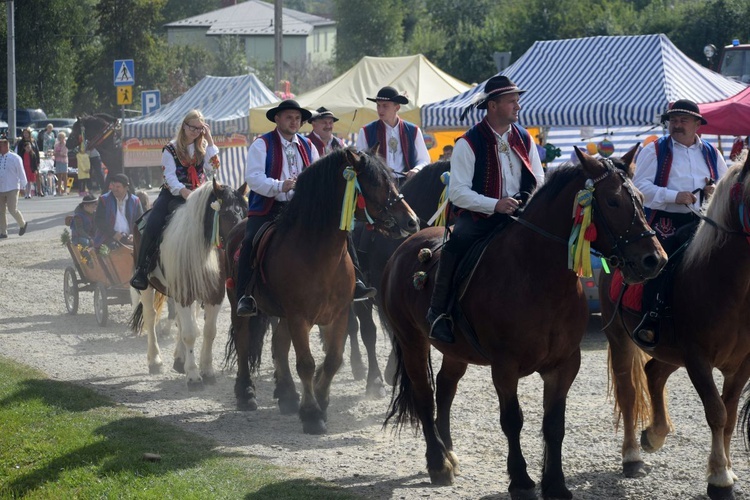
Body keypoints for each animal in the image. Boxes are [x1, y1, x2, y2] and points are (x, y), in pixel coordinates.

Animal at [129, 180, 247, 390]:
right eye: (225, 214)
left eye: (244, 212)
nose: (239, 243)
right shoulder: (184, 294)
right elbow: (190, 333)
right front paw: (193, 376)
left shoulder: (214, 295)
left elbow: (208, 331)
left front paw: (206, 370)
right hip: (148, 287)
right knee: (151, 317)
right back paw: (155, 360)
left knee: (180, 320)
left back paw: (179, 359)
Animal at [226, 147, 420, 434]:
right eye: (375, 183)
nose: (411, 221)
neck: (316, 253)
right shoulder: (299, 317)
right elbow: (306, 363)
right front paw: (312, 414)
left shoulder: (337, 314)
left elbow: (333, 360)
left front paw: (320, 397)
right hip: (240, 306)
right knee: (243, 341)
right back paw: (246, 393)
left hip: (283, 315)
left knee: (279, 345)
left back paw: (287, 395)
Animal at [384, 146, 668, 498]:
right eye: (613, 201)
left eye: (641, 199)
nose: (655, 260)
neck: (536, 277)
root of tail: (403, 250)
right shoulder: (505, 367)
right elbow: (512, 420)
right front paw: (520, 480)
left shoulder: (564, 365)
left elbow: (554, 424)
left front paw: (555, 483)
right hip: (411, 341)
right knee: (424, 395)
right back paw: (438, 463)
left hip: (455, 351)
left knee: (445, 388)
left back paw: (449, 453)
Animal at [604, 151, 750, 500]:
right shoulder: (697, 358)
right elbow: (717, 412)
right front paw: (720, 478)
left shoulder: (742, 364)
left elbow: (729, 414)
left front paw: (727, 470)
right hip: (621, 338)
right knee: (629, 392)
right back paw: (632, 456)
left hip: (669, 350)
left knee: (654, 373)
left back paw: (655, 434)